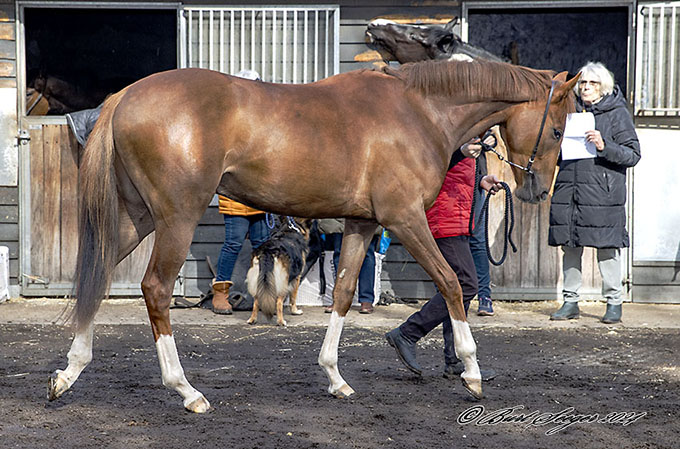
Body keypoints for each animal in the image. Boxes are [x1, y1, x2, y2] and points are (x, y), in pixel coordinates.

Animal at [49, 58, 580, 410]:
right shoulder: (405, 218)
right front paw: (471, 372)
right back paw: (186, 390)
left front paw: (334, 376)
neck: (419, 112)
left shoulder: (364, 224)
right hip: (176, 216)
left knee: (97, 278)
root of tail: (125, 96)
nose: (536, 189)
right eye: (557, 130)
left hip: (137, 217)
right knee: (156, 289)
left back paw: (69, 372)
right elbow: (450, 283)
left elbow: (343, 292)